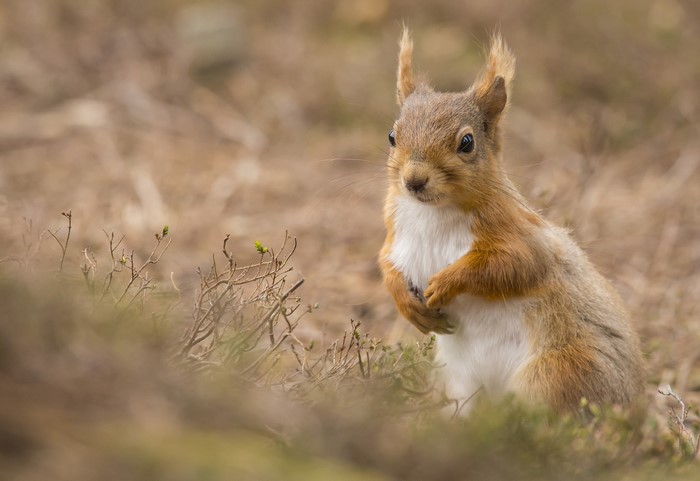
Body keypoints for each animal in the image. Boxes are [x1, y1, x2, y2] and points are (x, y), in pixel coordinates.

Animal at [379, 29, 645, 413]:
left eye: (467, 142)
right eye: (391, 136)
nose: (414, 180)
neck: (433, 214)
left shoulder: (523, 237)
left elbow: (513, 265)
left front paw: (445, 282)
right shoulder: (396, 238)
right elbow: (386, 267)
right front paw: (408, 306)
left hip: (555, 373)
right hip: (460, 384)